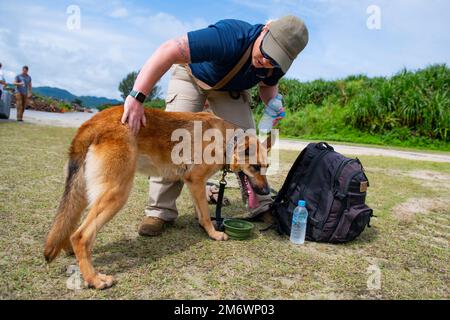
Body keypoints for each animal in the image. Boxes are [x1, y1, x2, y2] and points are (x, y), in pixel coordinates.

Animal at [44, 106, 272, 288]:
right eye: (255, 167)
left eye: (267, 167)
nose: (266, 192)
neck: (226, 140)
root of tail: (93, 121)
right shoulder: (196, 181)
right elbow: (207, 214)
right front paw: (214, 234)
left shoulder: (193, 184)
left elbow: (201, 211)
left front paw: (206, 228)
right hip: (117, 193)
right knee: (81, 235)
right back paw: (94, 279)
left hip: (83, 190)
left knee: (69, 222)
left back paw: (69, 250)